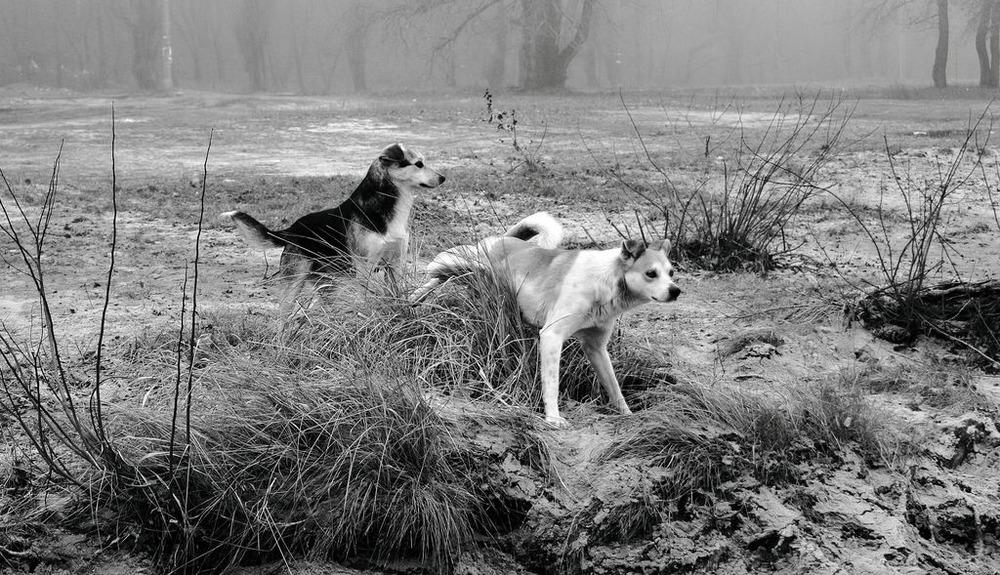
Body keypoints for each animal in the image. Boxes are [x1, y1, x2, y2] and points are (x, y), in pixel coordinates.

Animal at [227, 144, 446, 316]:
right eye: (419, 164)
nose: (443, 178)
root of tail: (291, 230)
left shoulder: (396, 263)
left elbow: (398, 294)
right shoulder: (364, 267)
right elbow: (367, 297)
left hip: (328, 286)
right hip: (293, 284)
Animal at [412, 213, 680, 428]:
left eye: (671, 272)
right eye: (651, 273)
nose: (676, 291)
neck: (606, 280)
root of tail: (502, 239)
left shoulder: (596, 348)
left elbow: (614, 388)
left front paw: (628, 415)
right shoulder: (552, 336)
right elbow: (551, 384)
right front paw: (553, 418)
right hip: (465, 266)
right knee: (437, 274)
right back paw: (413, 297)